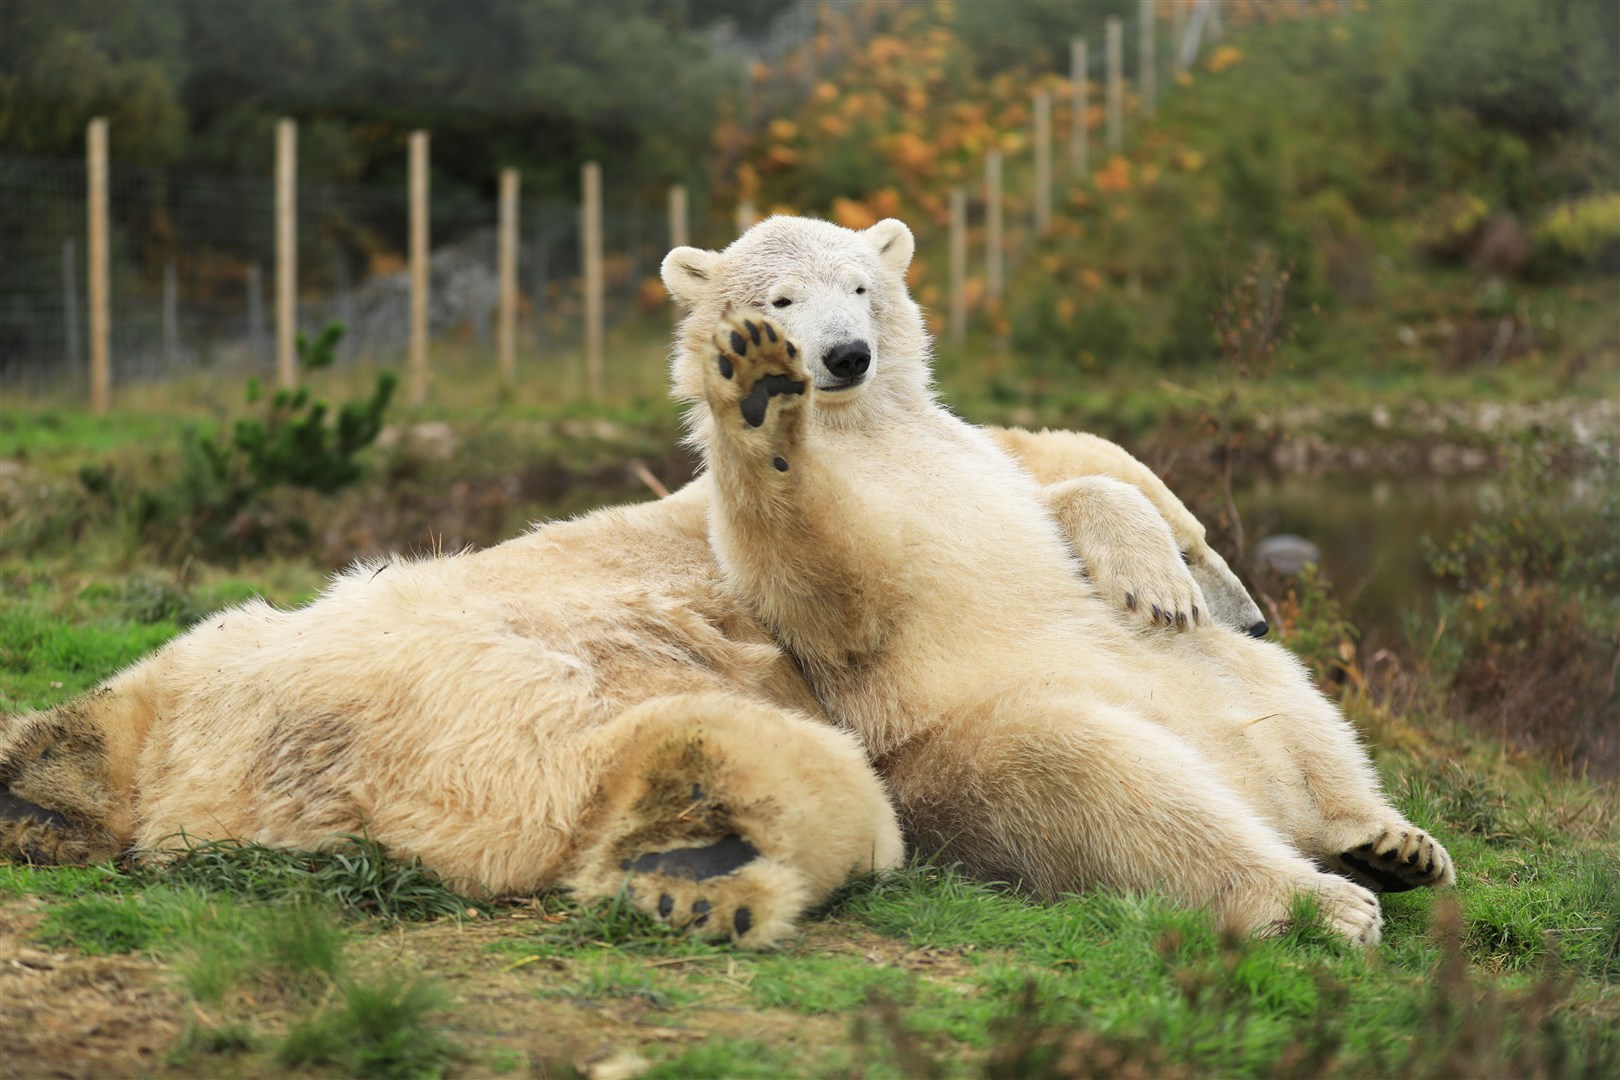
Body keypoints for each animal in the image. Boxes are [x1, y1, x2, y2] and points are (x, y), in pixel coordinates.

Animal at [670, 210, 1458, 945]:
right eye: (781, 299)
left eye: (860, 286)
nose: (847, 355)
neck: (859, 425)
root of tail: (1254, 794)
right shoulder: (828, 567)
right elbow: (828, 585)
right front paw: (762, 398)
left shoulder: (970, 454)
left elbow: (1055, 500)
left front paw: (1155, 581)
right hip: (967, 757)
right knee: (1114, 789)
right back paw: (1323, 901)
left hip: (1208, 677)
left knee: (1284, 695)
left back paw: (1387, 841)